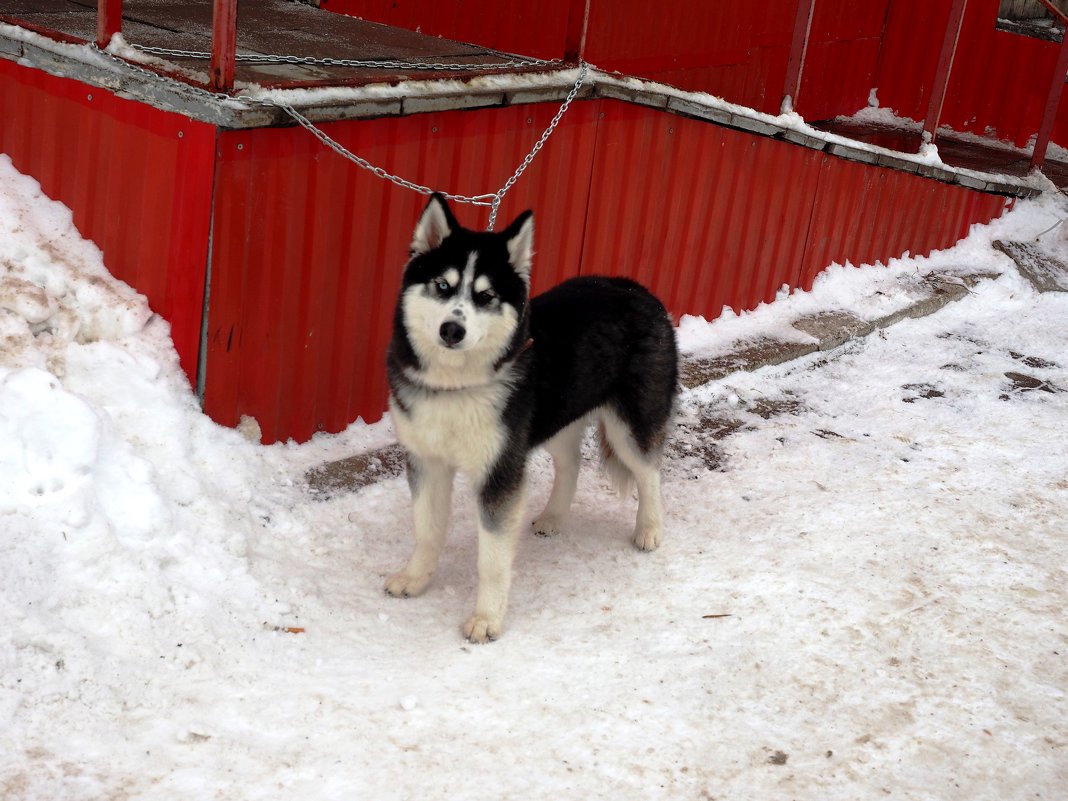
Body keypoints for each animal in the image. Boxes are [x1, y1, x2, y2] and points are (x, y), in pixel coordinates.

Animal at [386, 196, 674, 645]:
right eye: (442, 286)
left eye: (485, 296)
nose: (452, 329)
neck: (457, 384)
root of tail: (635, 288)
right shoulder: (426, 461)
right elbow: (427, 529)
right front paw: (415, 578)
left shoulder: (500, 470)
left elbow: (492, 559)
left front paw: (487, 618)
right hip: (555, 413)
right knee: (570, 463)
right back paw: (554, 516)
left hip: (630, 424)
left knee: (649, 471)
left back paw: (649, 528)